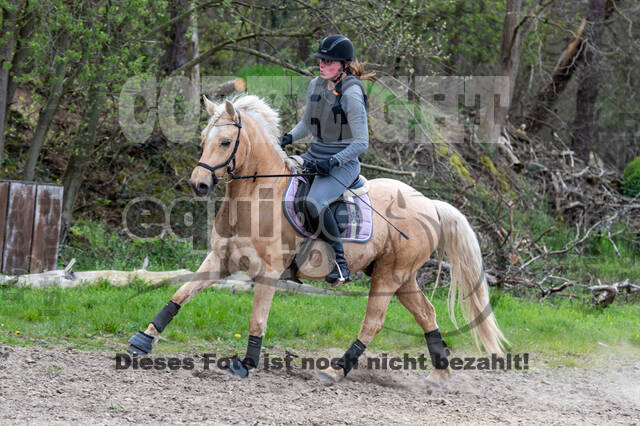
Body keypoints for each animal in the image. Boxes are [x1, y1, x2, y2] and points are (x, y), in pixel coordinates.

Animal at [127, 95, 508, 384]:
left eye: (224, 142)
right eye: (203, 140)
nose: (199, 184)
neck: (254, 197)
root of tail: (430, 203)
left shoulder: (268, 271)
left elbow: (257, 319)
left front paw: (246, 364)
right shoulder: (220, 260)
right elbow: (180, 294)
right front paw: (142, 340)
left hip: (390, 275)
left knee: (374, 322)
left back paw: (337, 370)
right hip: (402, 277)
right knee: (427, 314)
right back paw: (438, 374)